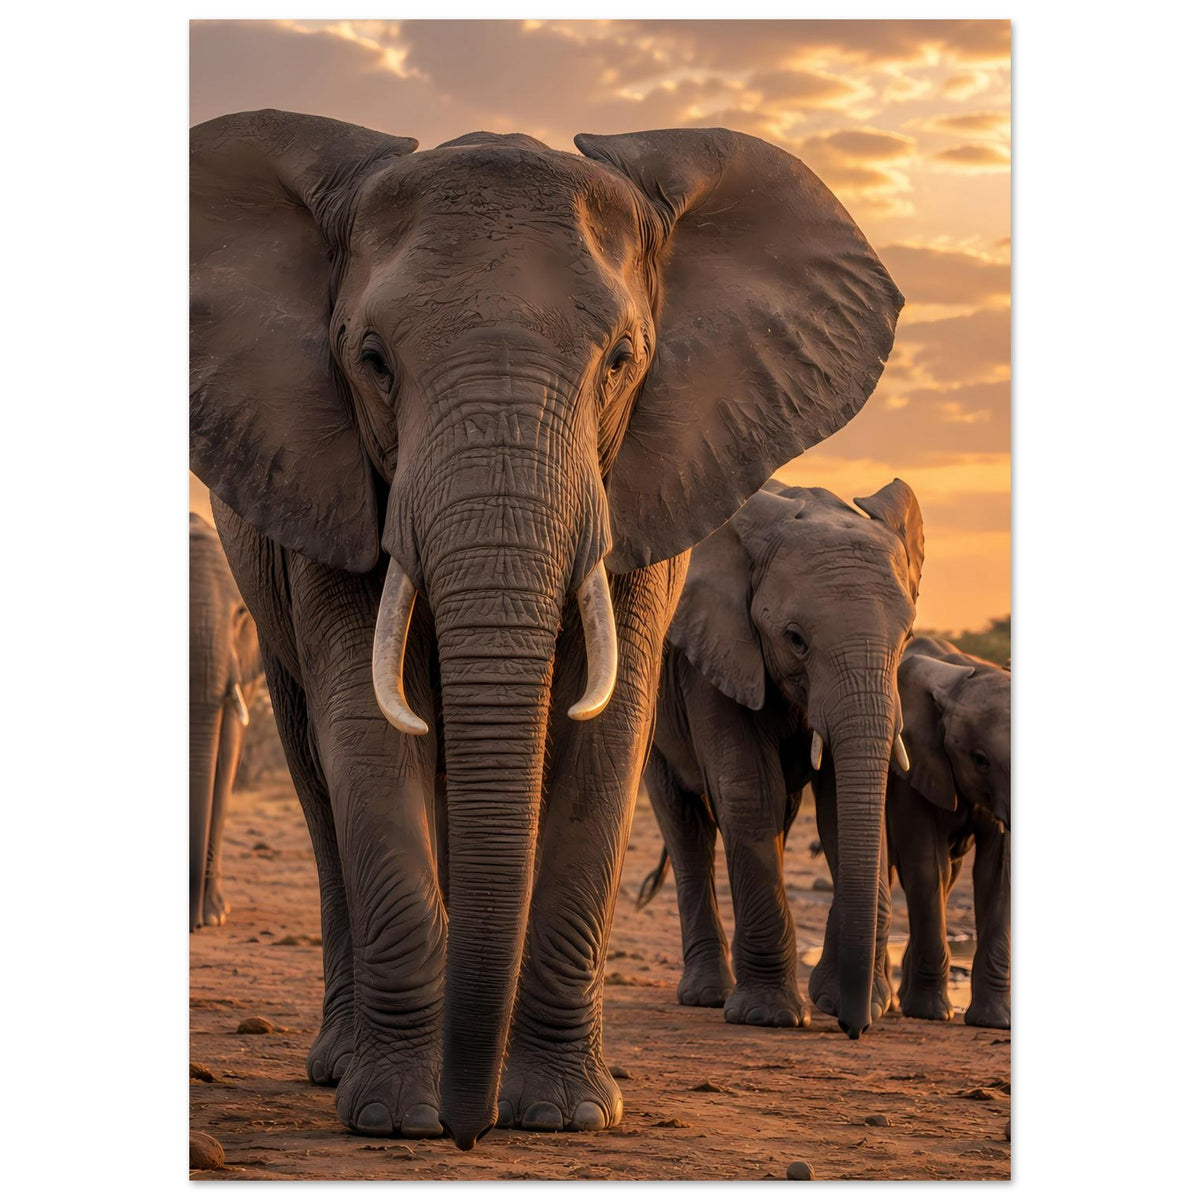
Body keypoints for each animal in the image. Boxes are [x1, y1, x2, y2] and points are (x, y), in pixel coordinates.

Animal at [640, 479, 923, 1036]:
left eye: (906, 638)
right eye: (795, 639)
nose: (856, 1029)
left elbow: (839, 806)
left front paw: (849, 1001)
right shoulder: (713, 655)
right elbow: (749, 791)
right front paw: (766, 1017)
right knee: (685, 824)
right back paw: (706, 996)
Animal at [884, 636, 1011, 1028]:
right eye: (980, 760)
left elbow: (997, 874)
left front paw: (995, 1022)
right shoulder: (911, 769)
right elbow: (926, 864)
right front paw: (930, 1015)